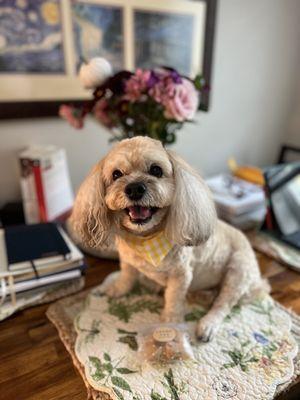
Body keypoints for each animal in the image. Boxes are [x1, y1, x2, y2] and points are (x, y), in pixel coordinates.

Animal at [71, 137, 270, 340]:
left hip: (238, 272)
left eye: (156, 170)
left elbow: (173, 299)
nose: (134, 189)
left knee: (223, 303)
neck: (145, 239)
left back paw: (207, 323)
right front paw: (118, 289)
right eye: (116, 174)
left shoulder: (181, 276)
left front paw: (170, 321)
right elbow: (127, 276)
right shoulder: (127, 260)